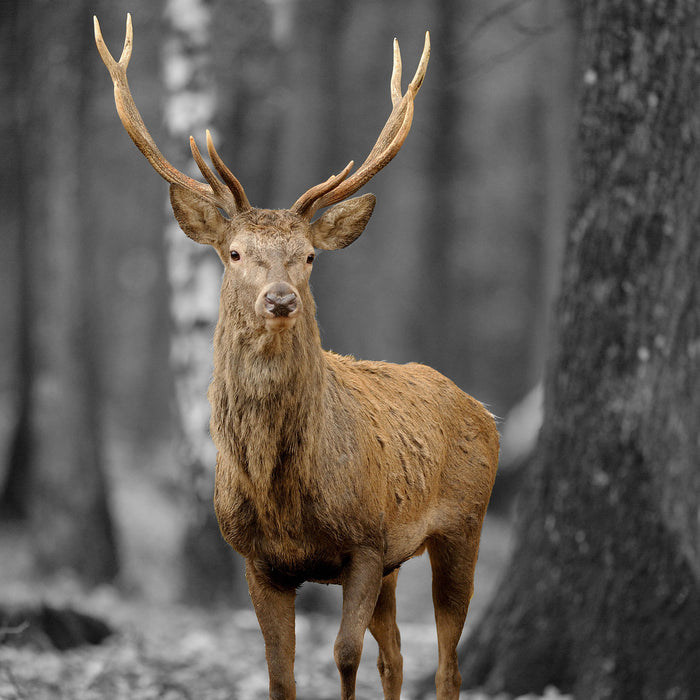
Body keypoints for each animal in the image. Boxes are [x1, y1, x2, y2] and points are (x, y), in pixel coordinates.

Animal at [94, 15, 498, 700]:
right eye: (234, 253)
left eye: (308, 256)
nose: (279, 298)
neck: (283, 496)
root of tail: (486, 411)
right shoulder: (259, 559)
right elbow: (280, 674)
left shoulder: (365, 542)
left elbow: (343, 655)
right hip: (399, 561)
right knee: (397, 654)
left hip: (464, 524)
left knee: (447, 663)